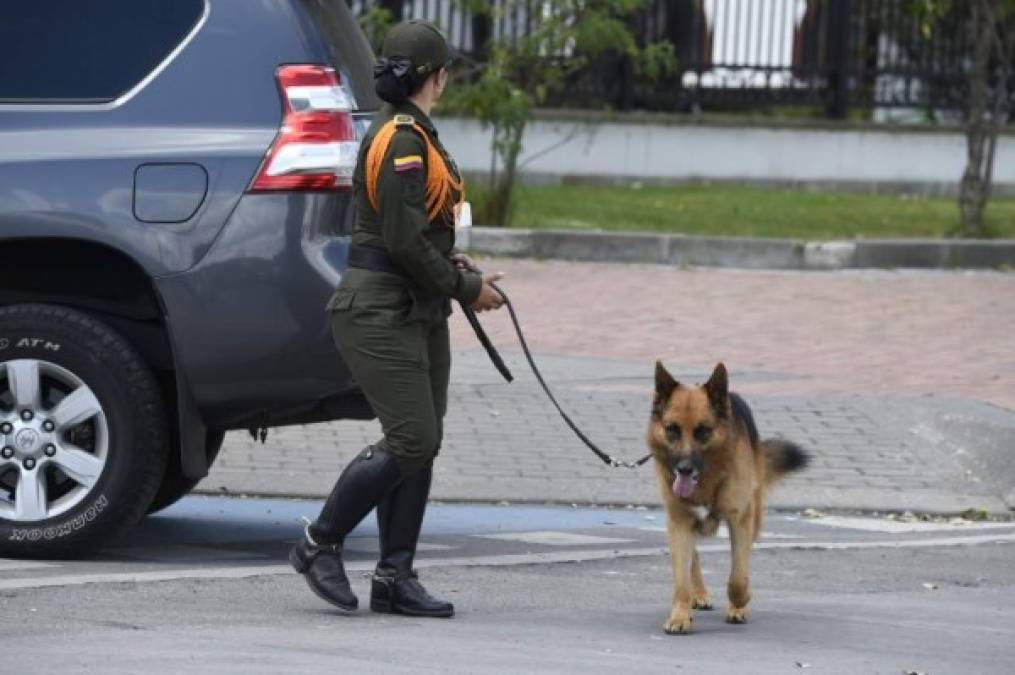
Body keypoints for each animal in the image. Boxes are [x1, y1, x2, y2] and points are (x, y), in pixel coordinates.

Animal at [649, 363, 807, 633]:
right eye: (672, 430)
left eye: (703, 431)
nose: (683, 469)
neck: (709, 479)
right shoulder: (679, 522)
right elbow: (681, 579)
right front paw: (680, 616)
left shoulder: (740, 520)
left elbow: (738, 577)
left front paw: (740, 602)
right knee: (692, 560)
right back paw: (699, 594)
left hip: (754, 516)